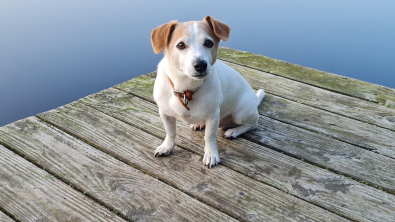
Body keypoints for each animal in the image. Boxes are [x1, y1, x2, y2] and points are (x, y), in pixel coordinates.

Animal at [152, 16, 266, 168]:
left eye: (208, 43)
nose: (200, 65)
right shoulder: (165, 113)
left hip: (240, 114)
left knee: (252, 124)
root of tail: (254, 100)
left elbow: (209, 137)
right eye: (181, 45)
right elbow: (170, 132)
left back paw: (233, 131)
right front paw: (166, 147)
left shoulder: (213, 116)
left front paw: (211, 154)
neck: (186, 88)